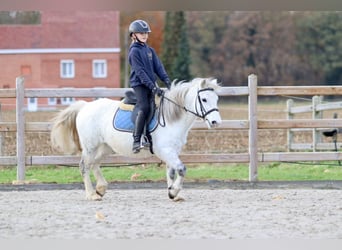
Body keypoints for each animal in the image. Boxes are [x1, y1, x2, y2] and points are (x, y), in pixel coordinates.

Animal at [50, 77, 222, 200]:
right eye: (204, 99)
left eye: (216, 99)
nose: (215, 122)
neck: (171, 118)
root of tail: (85, 106)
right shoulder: (165, 150)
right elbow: (181, 169)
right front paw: (174, 191)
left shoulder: (172, 151)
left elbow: (172, 171)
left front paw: (172, 193)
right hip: (90, 146)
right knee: (84, 166)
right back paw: (92, 194)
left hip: (105, 147)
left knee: (94, 163)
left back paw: (101, 188)